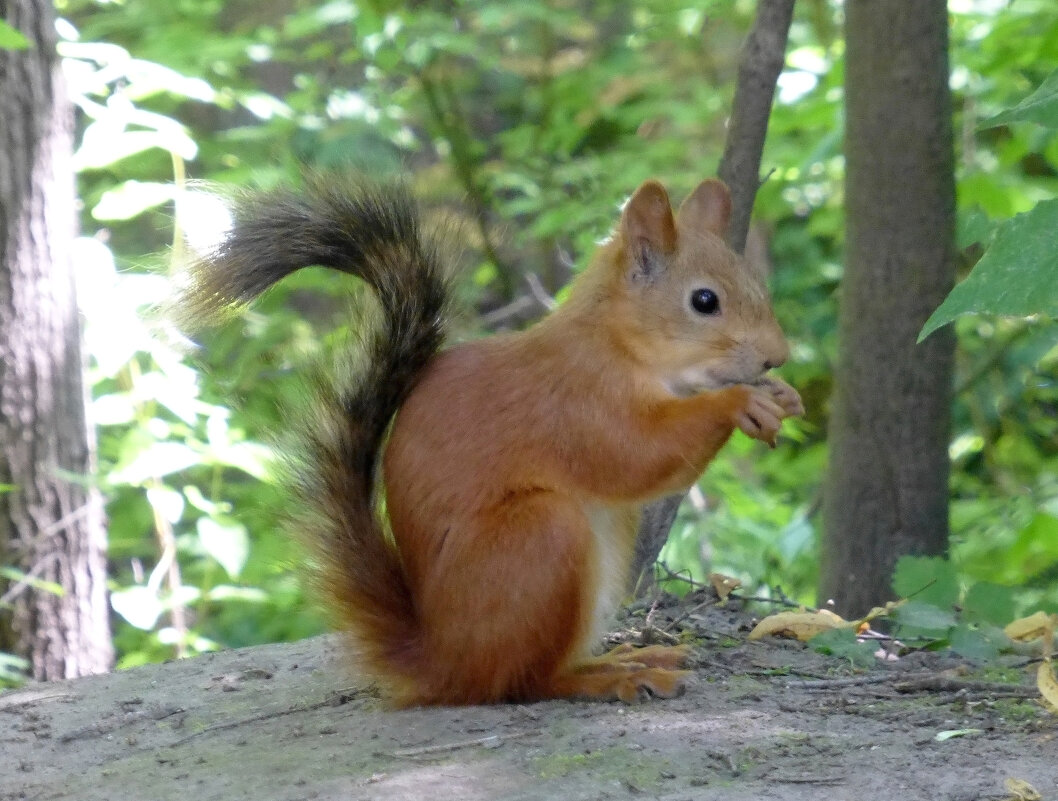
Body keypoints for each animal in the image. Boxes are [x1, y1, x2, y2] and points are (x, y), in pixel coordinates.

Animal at [181, 173, 804, 706]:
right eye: (704, 301)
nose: (778, 356)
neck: (618, 344)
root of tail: (443, 660)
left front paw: (784, 395)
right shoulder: (576, 406)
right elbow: (635, 458)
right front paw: (740, 403)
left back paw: (628, 658)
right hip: (539, 538)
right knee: (524, 682)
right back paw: (608, 679)